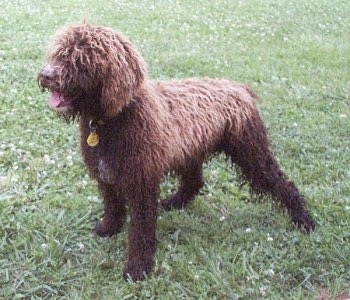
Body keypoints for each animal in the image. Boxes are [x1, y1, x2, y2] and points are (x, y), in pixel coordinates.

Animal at [37, 22, 314, 282]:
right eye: (60, 53)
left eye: (81, 59)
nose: (46, 75)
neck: (117, 116)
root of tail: (239, 88)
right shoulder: (107, 175)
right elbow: (113, 205)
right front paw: (109, 228)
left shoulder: (142, 183)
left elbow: (141, 230)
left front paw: (138, 267)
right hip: (189, 151)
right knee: (194, 181)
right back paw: (174, 202)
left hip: (251, 153)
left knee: (282, 183)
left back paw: (304, 220)